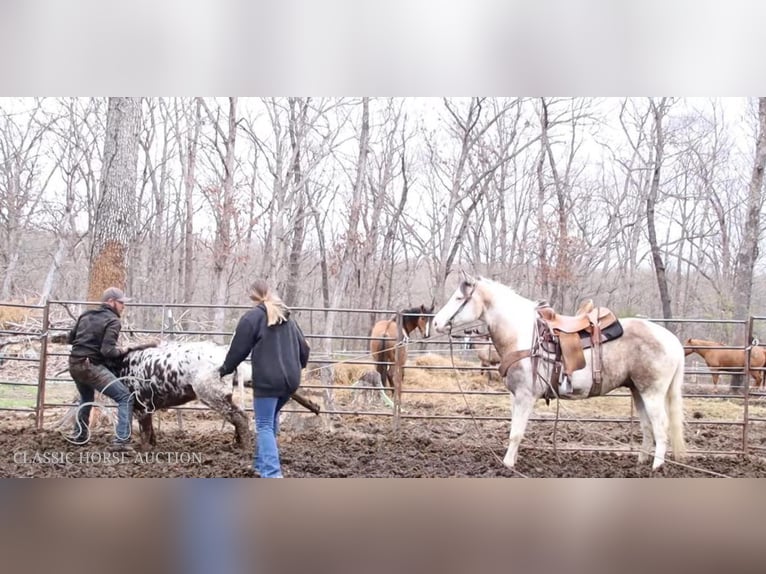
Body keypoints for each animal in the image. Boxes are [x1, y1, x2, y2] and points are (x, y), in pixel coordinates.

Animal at [111, 342, 250, 450]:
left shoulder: (142, 407)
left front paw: (145, 451)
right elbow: (151, 432)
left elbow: (145, 433)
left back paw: (244, 448)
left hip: (213, 396)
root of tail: (224, 351)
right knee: (241, 415)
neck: (124, 365)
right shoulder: (147, 409)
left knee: (240, 418)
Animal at [432, 274, 688, 472]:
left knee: (661, 427)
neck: (521, 336)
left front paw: (507, 465)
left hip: (652, 392)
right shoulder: (515, 396)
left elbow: (517, 433)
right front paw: (511, 459)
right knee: (647, 426)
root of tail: (672, 340)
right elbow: (514, 429)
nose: (435, 323)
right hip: (637, 390)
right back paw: (641, 462)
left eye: (458, 298)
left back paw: (656, 467)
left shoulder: (525, 396)